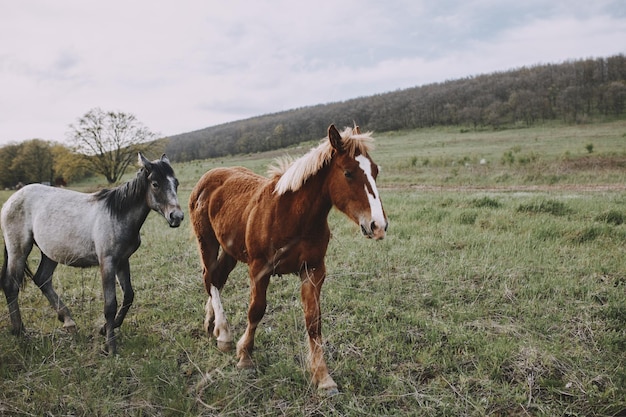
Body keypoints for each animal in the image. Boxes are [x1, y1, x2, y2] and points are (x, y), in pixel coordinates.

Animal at [188, 123, 388, 394]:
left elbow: (313, 321)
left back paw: (213, 325)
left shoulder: (313, 270)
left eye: (375, 170)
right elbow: (256, 310)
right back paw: (225, 334)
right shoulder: (259, 269)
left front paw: (323, 378)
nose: (378, 226)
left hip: (230, 250)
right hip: (207, 242)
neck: (293, 216)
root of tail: (208, 177)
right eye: (348, 173)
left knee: (216, 280)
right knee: (209, 278)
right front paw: (245, 357)